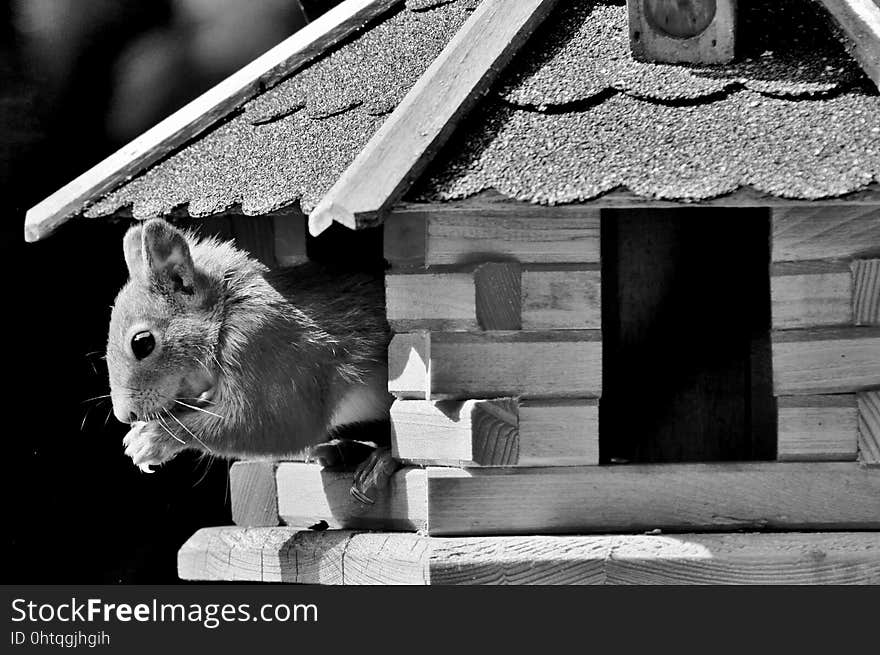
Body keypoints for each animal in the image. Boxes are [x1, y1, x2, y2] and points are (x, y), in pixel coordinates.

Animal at [106, 219, 398, 502]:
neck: (227, 311)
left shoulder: (267, 345)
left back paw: (380, 461)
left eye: (142, 343)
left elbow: (273, 423)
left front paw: (153, 437)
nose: (125, 415)